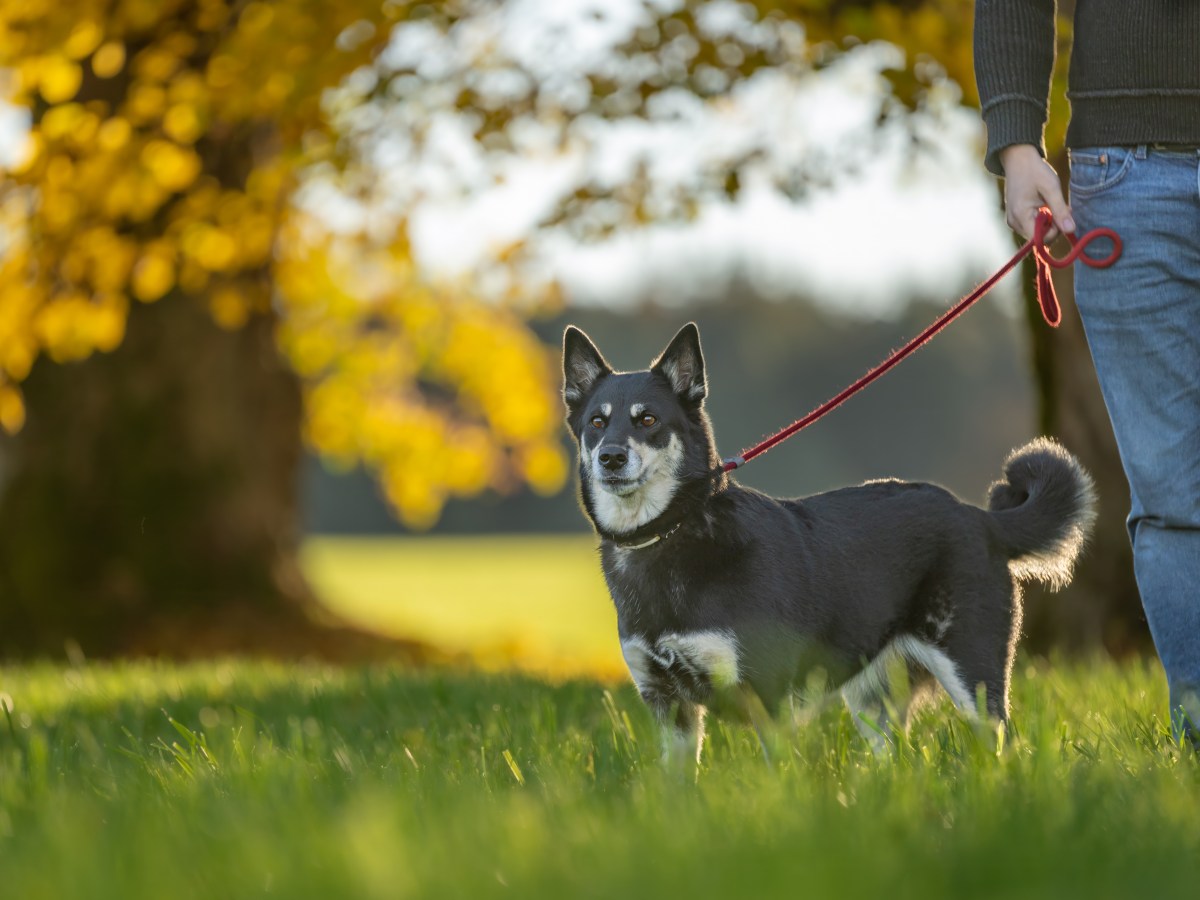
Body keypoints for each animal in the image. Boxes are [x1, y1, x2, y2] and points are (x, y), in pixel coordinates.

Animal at [561, 321, 1099, 763]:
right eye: (597, 423)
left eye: (648, 419)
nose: (611, 457)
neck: (670, 534)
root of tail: (980, 518)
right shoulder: (668, 707)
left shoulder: (767, 696)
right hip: (873, 701)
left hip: (975, 675)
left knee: (1002, 747)